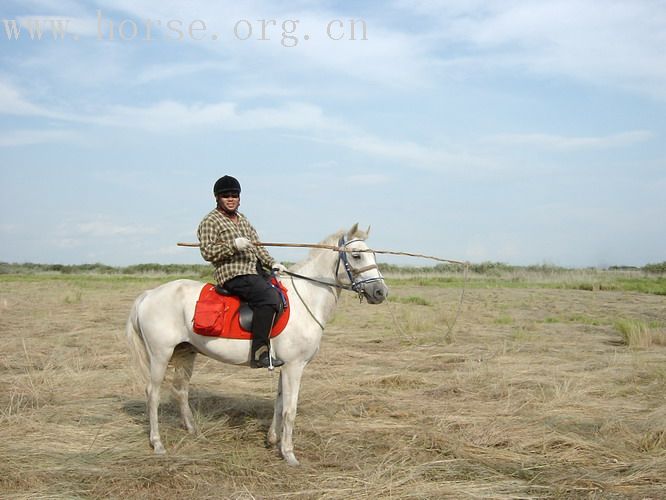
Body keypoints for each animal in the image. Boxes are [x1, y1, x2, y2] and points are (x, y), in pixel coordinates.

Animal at [123, 223, 390, 464]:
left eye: (373, 254)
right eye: (356, 255)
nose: (380, 292)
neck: (306, 297)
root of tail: (149, 294)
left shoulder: (284, 366)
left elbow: (279, 403)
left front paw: (273, 440)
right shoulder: (295, 366)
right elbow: (290, 410)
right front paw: (289, 454)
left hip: (186, 353)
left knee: (180, 390)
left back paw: (193, 430)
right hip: (160, 355)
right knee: (153, 394)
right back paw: (157, 444)